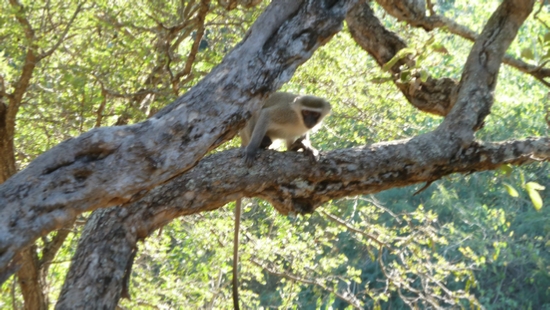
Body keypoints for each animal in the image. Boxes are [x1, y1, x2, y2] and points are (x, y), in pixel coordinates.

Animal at [233, 92, 332, 310]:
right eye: (306, 112)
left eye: (315, 114)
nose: (310, 121)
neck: (299, 120)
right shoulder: (285, 114)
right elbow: (265, 114)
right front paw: (252, 150)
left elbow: (303, 136)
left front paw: (307, 146)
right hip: (248, 132)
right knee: (256, 115)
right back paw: (261, 144)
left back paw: (297, 147)